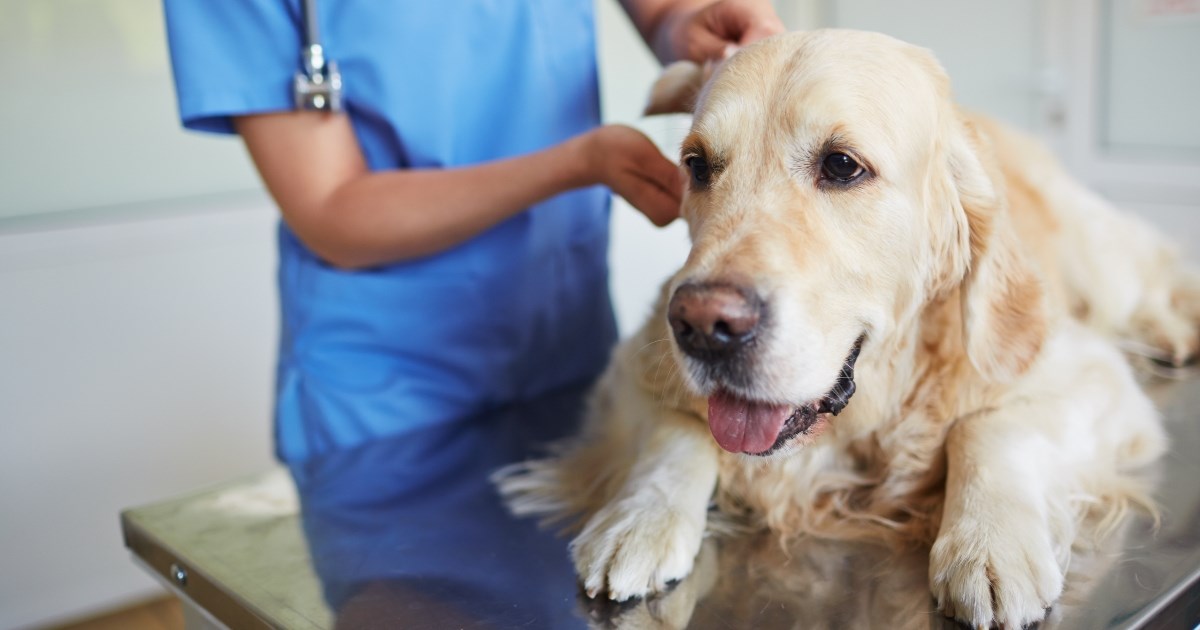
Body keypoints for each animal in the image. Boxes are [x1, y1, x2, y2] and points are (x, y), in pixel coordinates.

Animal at [494, 30, 1190, 628]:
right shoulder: (631, 367)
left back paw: (1177, 328)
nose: (703, 326)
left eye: (842, 165)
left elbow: (990, 428)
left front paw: (988, 547)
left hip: (1101, 262)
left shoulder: (1088, 373)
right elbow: (677, 435)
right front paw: (638, 521)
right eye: (696, 165)